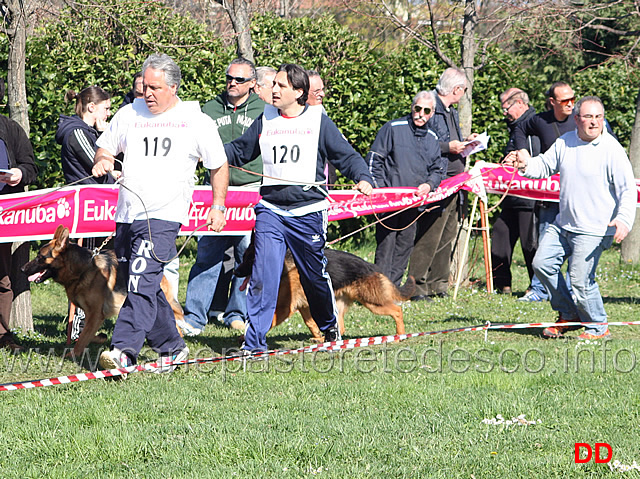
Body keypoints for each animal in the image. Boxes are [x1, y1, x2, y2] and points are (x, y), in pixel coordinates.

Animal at [22, 225, 182, 356]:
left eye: (40, 257)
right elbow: (84, 334)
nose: (22, 269)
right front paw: (99, 337)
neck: (83, 269)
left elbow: (82, 338)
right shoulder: (92, 315)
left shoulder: (96, 314)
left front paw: (72, 355)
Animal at [238, 240, 412, 342]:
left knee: (397, 310)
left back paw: (400, 334)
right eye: (244, 257)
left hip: (372, 302)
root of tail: (372, 267)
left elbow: (270, 320)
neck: (283, 265)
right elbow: (310, 323)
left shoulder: (285, 308)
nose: (235, 272)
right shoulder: (304, 305)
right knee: (340, 327)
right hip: (338, 304)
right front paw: (318, 337)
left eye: (249, 259)